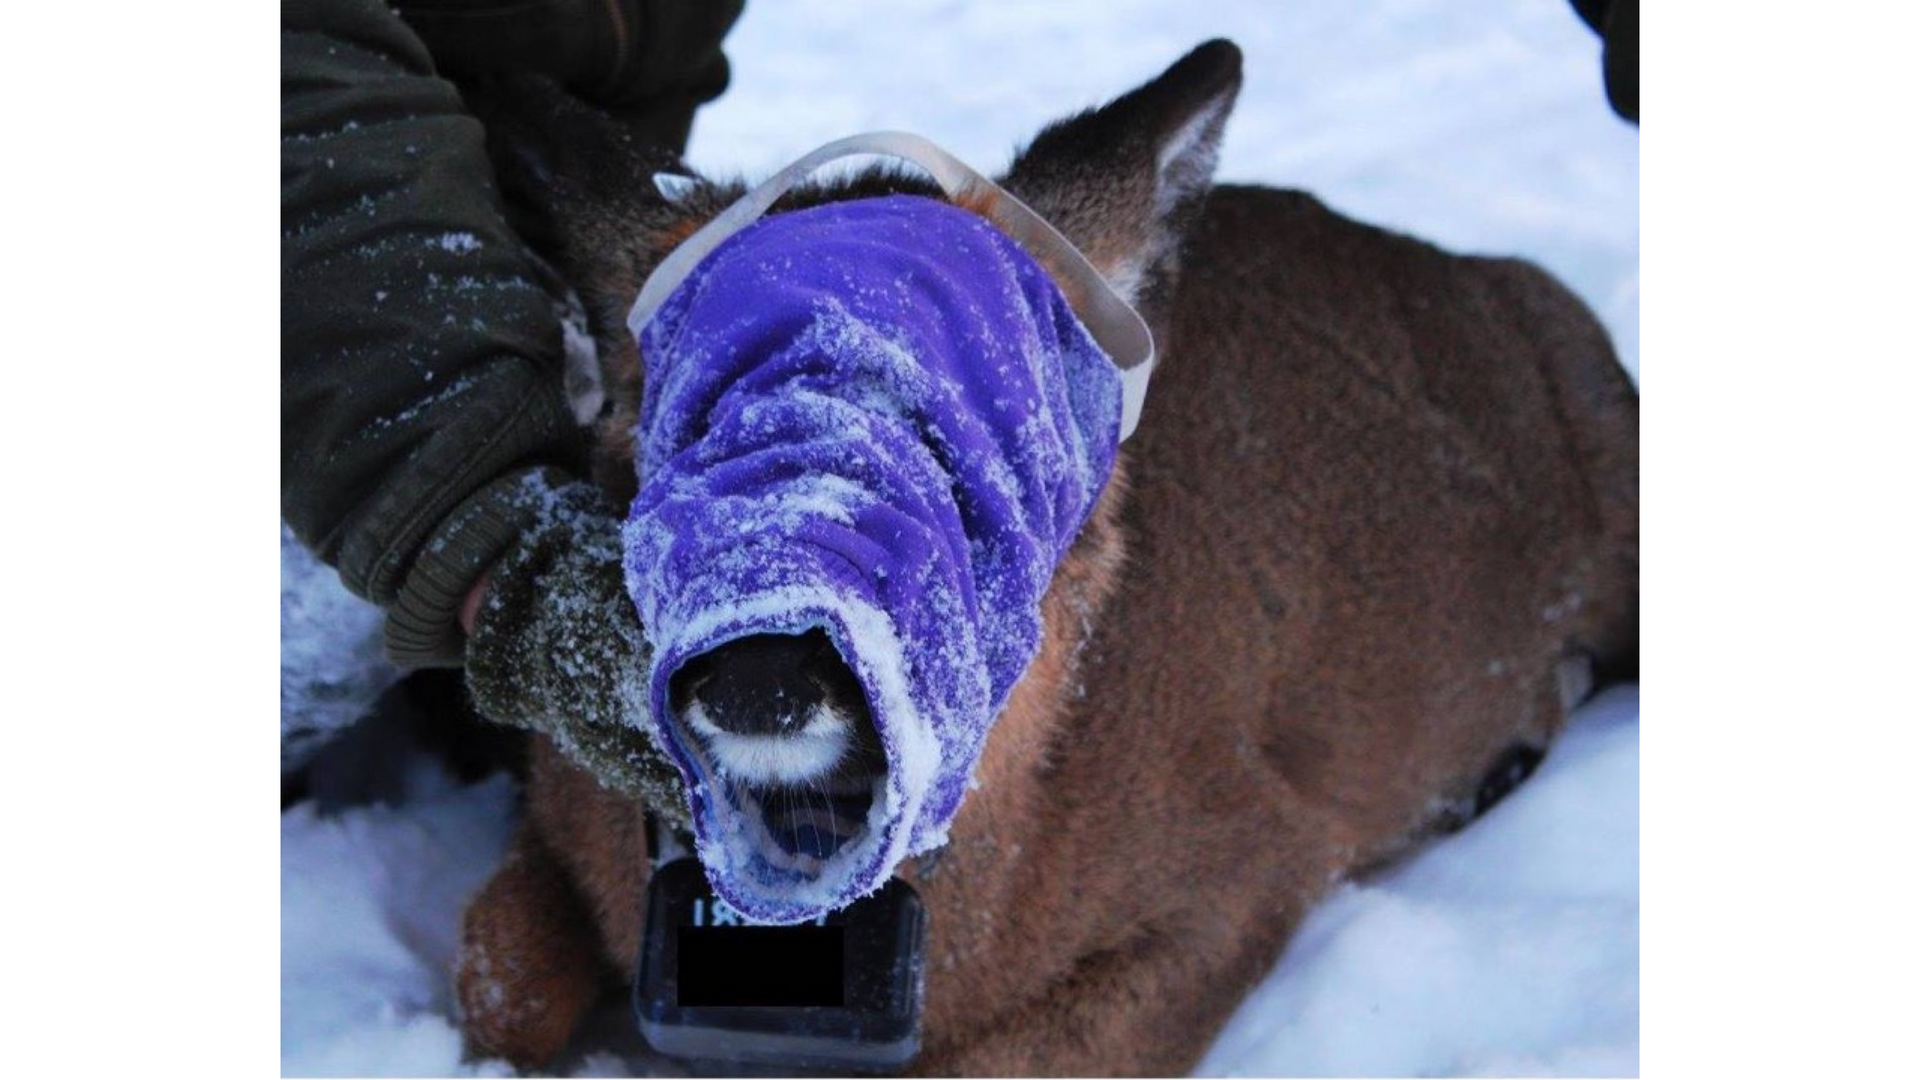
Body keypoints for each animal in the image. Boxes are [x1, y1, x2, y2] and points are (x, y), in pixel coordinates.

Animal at [450, 39, 1638, 1075]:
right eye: (688, 423)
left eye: (966, 447)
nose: (764, 666)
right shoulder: (551, 805)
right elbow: (494, 981)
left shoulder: (1254, 859)